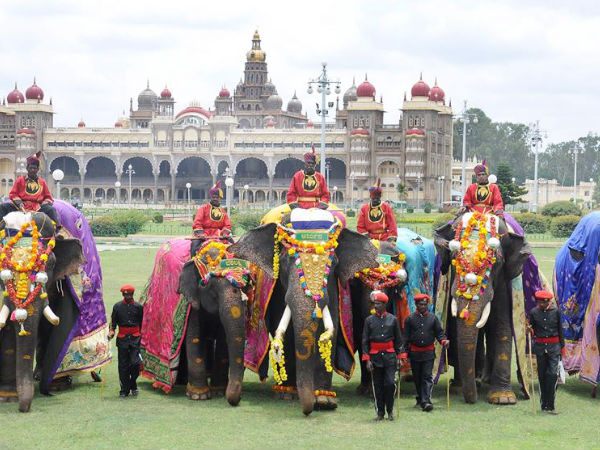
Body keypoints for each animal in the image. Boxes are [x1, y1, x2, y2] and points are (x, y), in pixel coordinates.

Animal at [139, 237, 250, 406]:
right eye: (205, 285)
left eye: (246, 285)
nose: (235, 400)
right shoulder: (190, 301)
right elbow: (195, 337)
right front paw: (199, 396)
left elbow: (224, 340)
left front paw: (218, 392)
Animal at [230, 207, 376, 414]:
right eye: (284, 260)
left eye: (334, 263)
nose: (308, 409)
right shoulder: (278, 289)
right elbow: (284, 330)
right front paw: (286, 395)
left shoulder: (333, 287)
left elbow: (331, 328)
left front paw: (324, 400)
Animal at [432, 212, 536, 404]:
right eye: (453, 258)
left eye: (496, 262)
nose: (471, 401)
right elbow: (455, 327)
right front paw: (459, 389)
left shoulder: (504, 281)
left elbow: (503, 325)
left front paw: (503, 398)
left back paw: (486, 380)